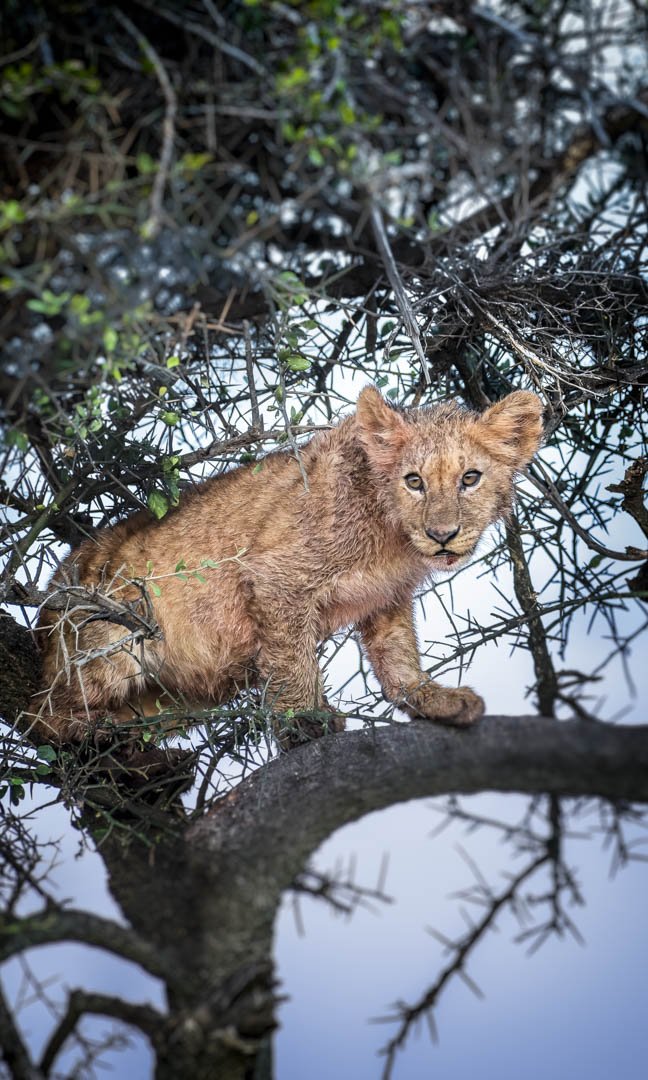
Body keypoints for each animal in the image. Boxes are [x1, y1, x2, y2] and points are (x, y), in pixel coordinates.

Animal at [33, 386, 543, 748]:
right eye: (414, 482)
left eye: (470, 479)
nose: (442, 535)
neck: (394, 538)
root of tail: (54, 588)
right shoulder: (277, 578)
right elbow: (292, 659)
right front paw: (305, 722)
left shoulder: (387, 597)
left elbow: (398, 659)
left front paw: (434, 700)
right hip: (109, 639)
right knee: (41, 717)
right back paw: (96, 734)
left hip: (176, 697)